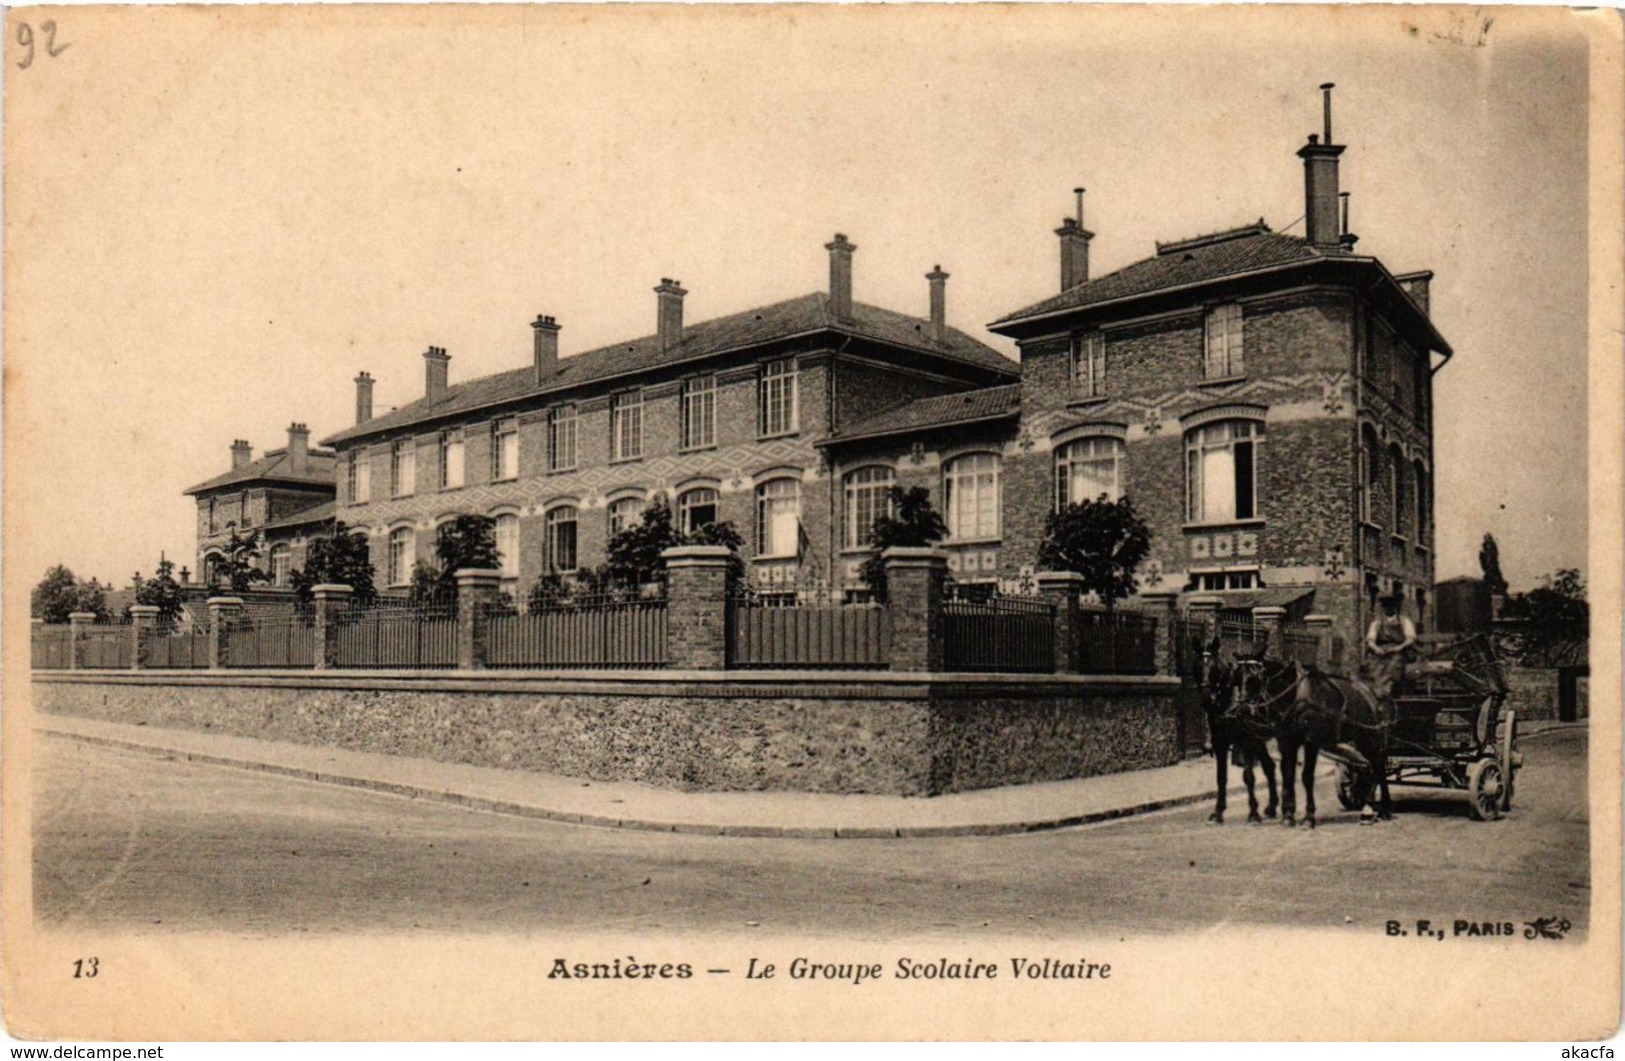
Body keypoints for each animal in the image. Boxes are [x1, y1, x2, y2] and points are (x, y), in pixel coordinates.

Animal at [1196, 633, 1280, 822]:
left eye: (1214, 668)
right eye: (1196, 666)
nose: (1206, 699)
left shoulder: (1247, 741)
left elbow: (1248, 776)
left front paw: (1253, 813)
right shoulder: (1220, 743)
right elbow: (1221, 777)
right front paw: (1218, 812)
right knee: (1270, 766)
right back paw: (1271, 807)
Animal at [1241, 656, 1397, 822]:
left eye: (1253, 678)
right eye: (1236, 676)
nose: (1242, 709)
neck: (1299, 697)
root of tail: (1371, 694)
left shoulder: (1312, 742)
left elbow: (1307, 776)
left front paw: (1308, 817)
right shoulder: (1287, 741)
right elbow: (1288, 774)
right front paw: (1288, 816)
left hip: (1372, 738)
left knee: (1379, 768)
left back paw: (1383, 808)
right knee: (1366, 767)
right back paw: (1366, 803)